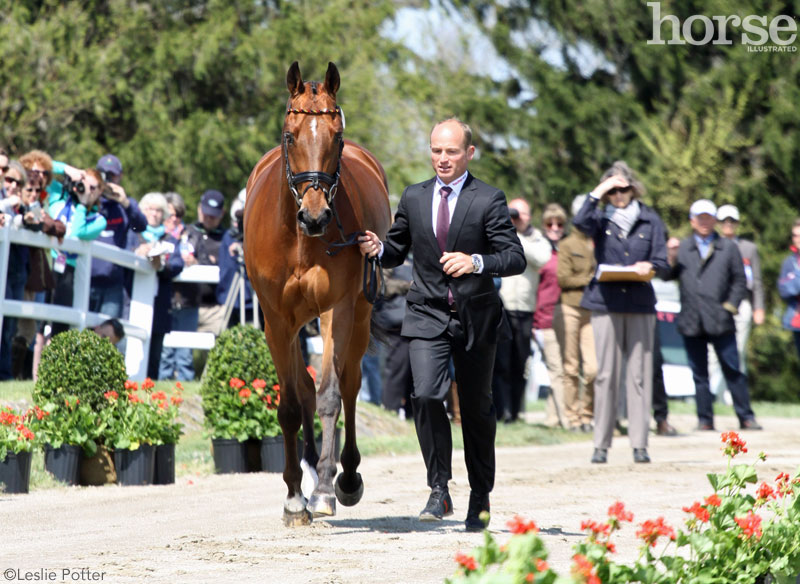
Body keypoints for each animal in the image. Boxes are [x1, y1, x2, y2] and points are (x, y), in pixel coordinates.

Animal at [245, 61, 392, 528]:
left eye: (337, 138)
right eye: (291, 135)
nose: (315, 216)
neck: (300, 241)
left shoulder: (336, 310)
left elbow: (330, 397)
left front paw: (328, 487)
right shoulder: (277, 320)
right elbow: (293, 405)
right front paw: (295, 497)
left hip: (359, 316)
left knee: (349, 384)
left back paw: (343, 477)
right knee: (305, 390)